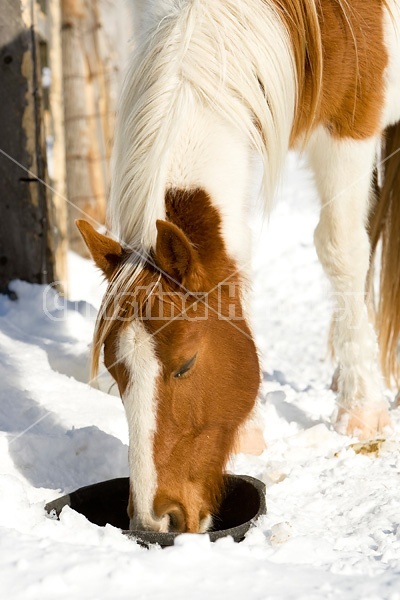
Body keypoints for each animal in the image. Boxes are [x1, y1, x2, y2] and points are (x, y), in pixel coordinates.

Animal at [76, 0, 400, 536]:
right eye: (116, 372)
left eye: (186, 363)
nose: (155, 519)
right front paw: (252, 431)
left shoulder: (351, 117)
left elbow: (341, 247)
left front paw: (362, 412)